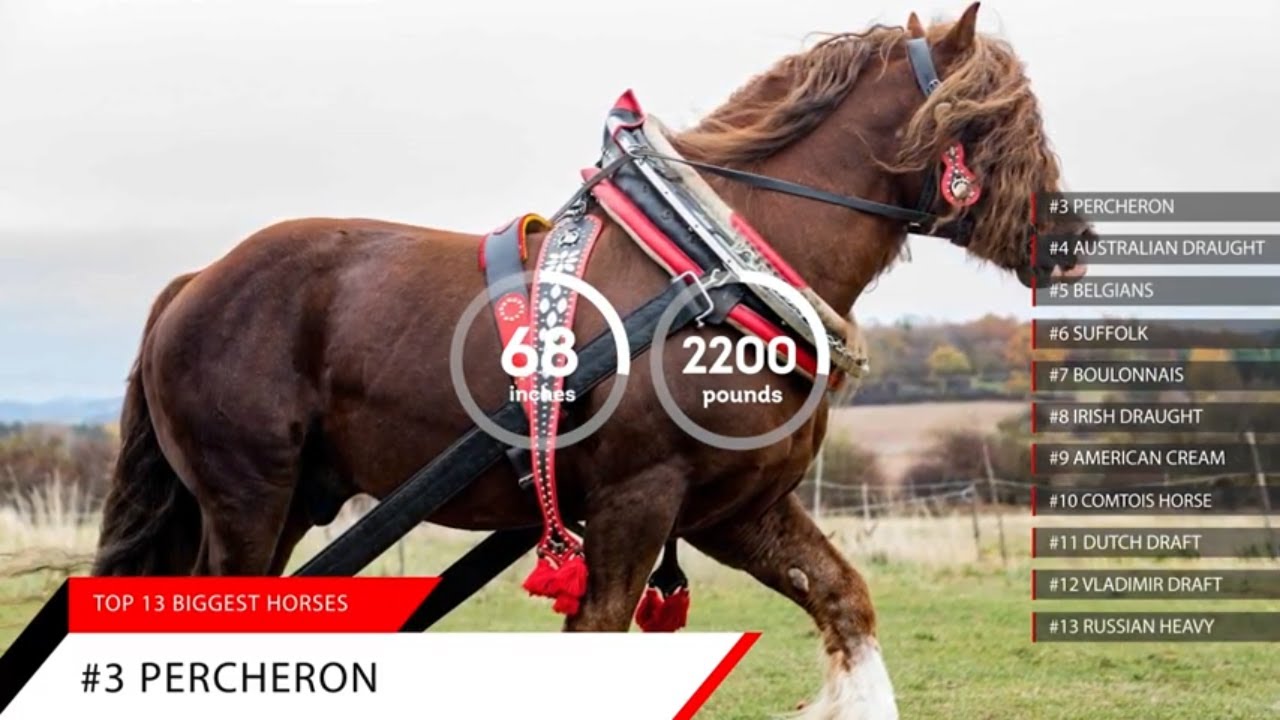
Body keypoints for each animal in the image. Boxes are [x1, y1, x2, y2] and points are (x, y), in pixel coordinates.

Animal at [92, 5, 1090, 717]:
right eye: (1000, 119)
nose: (1073, 240)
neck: (716, 267)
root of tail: (192, 285)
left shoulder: (737, 509)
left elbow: (845, 599)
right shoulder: (635, 499)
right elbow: (601, 628)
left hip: (295, 496)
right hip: (248, 496)